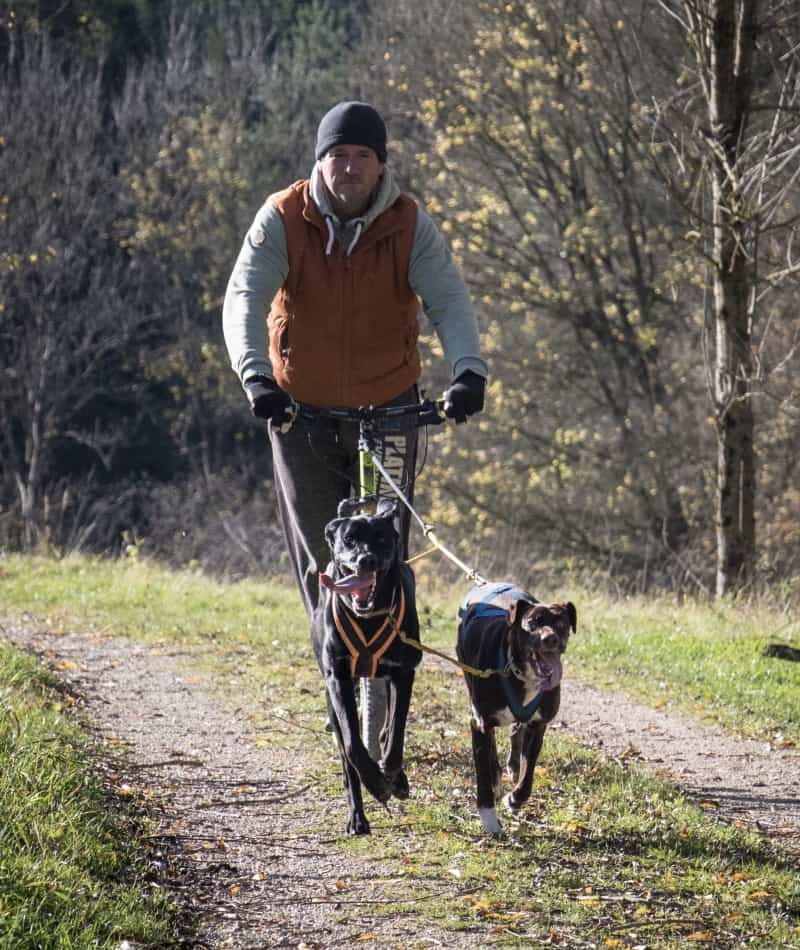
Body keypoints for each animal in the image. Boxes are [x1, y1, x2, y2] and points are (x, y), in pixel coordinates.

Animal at [312, 502, 422, 836]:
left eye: (382, 538)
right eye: (349, 539)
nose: (367, 559)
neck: (369, 618)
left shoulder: (403, 672)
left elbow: (396, 731)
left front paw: (393, 775)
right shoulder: (338, 679)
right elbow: (352, 744)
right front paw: (375, 783)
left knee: (388, 728)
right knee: (347, 755)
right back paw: (357, 817)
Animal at [456, 584, 576, 836]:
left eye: (561, 624)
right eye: (532, 622)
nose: (551, 639)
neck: (520, 672)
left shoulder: (538, 725)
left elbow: (528, 772)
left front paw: (516, 799)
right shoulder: (479, 722)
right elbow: (483, 770)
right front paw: (489, 818)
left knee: (515, 732)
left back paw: (511, 765)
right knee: (492, 745)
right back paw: (497, 779)